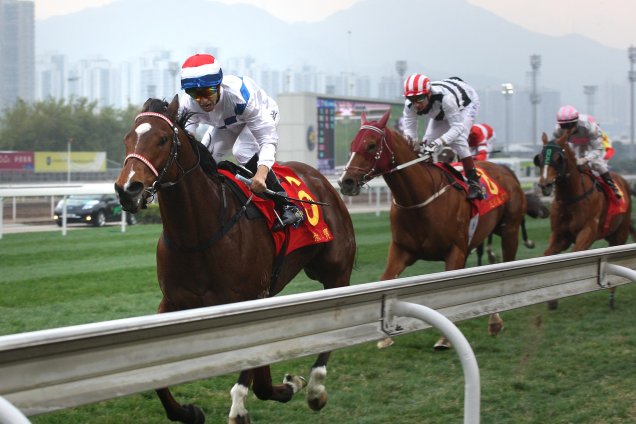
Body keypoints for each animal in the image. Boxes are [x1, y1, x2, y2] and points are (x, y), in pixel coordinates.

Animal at [114, 96, 358, 424]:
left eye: (163, 139)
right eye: (128, 138)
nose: (128, 189)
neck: (198, 235)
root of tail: (324, 180)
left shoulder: (248, 298)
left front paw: (240, 407)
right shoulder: (174, 302)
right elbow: (158, 376)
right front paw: (189, 411)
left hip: (335, 272)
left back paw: (316, 388)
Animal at [338, 108, 528, 348]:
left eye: (371, 145)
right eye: (352, 144)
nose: (346, 182)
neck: (420, 199)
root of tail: (505, 170)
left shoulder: (456, 251)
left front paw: (445, 339)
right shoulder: (402, 249)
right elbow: (386, 280)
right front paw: (386, 336)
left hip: (509, 230)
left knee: (506, 268)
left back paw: (495, 321)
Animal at [536, 132, 632, 308]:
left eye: (558, 158)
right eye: (539, 157)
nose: (545, 185)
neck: (571, 198)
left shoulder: (588, 232)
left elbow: (575, 253)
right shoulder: (559, 235)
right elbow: (548, 256)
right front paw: (551, 300)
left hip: (620, 234)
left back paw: (611, 296)